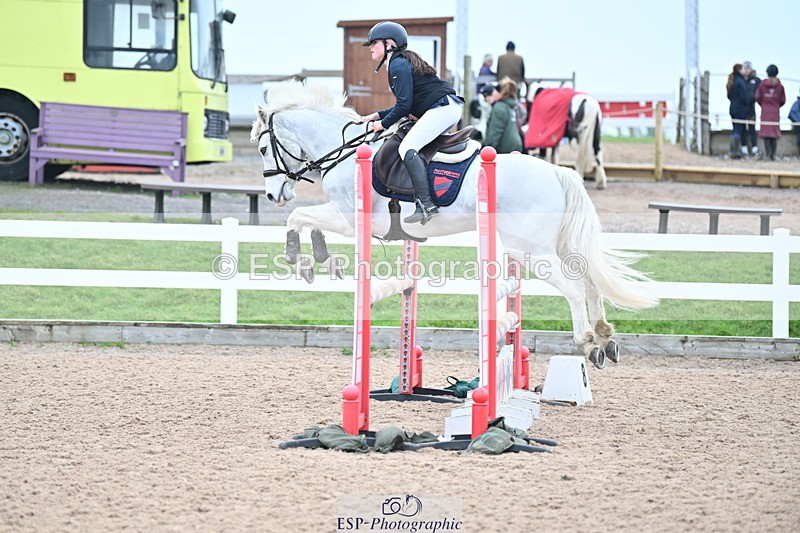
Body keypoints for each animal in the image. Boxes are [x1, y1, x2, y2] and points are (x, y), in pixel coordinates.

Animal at [251, 80, 657, 369]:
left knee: (573, 287)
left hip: (532, 250)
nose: (272, 194)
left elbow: (298, 218)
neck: (346, 152)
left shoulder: (353, 220)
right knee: (589, 281)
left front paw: (301, 258)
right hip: (554, 245)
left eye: (263, 149)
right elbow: (306, 220)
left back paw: (588, 342)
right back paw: (605, 337)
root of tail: (559, 172)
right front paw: (320, 258)